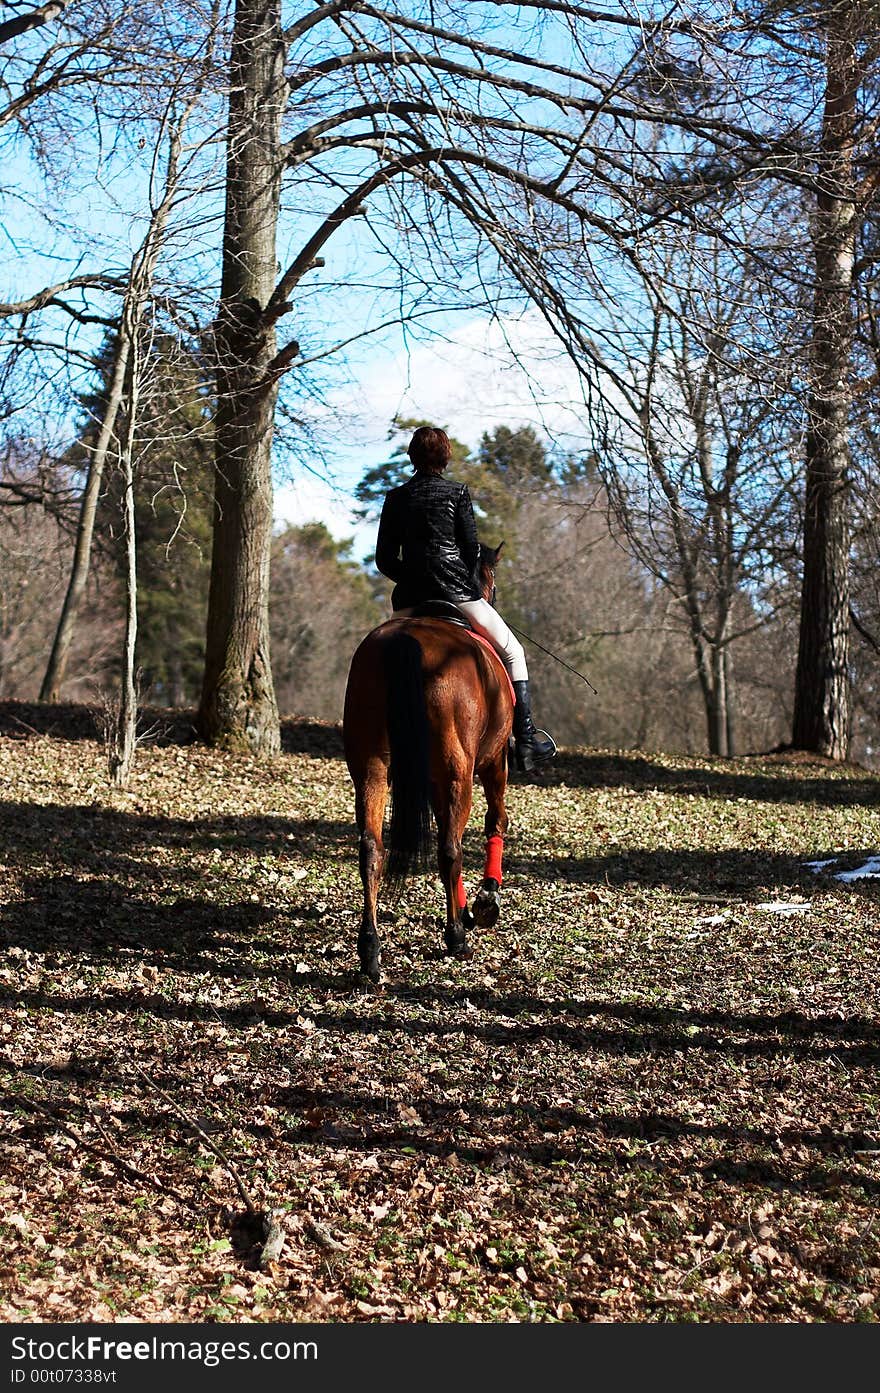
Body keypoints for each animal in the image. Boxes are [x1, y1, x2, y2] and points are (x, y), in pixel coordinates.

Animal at [339, 537, 512, 986]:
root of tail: (405, 639)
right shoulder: (493, 762)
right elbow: (495, 820)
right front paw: (484, 903)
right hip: (456, 772)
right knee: (449, 847)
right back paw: (456, 939)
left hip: (372, 767)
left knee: (371, 849)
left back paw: (370, 952)